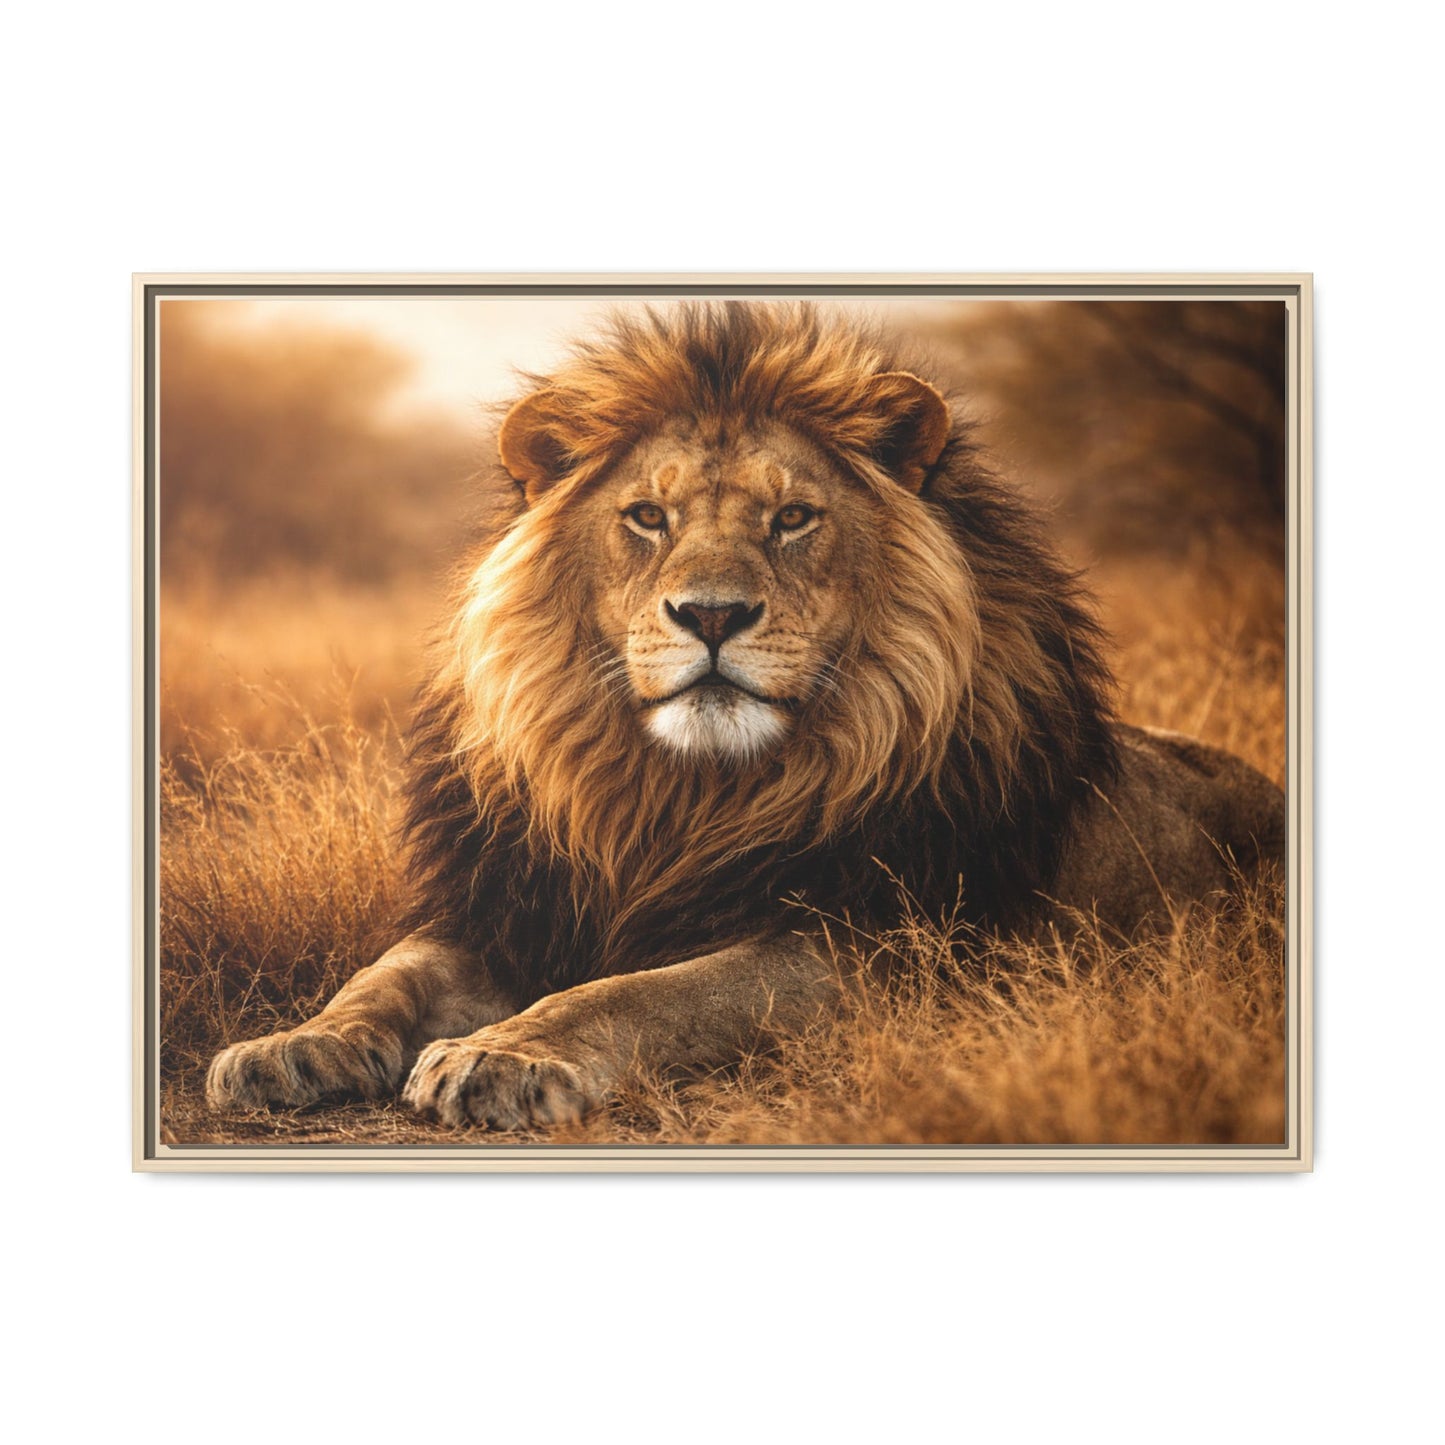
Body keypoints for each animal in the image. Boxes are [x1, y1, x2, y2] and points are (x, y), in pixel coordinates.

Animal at [206, 302, 1285, 1130]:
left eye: (792, 517)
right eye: (648, 517)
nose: (713, 614)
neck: (677, 797)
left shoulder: (868, 948)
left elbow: (645, 990)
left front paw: (502, 1053)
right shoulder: (513, 904)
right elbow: (386, 972)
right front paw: (287, 1045)